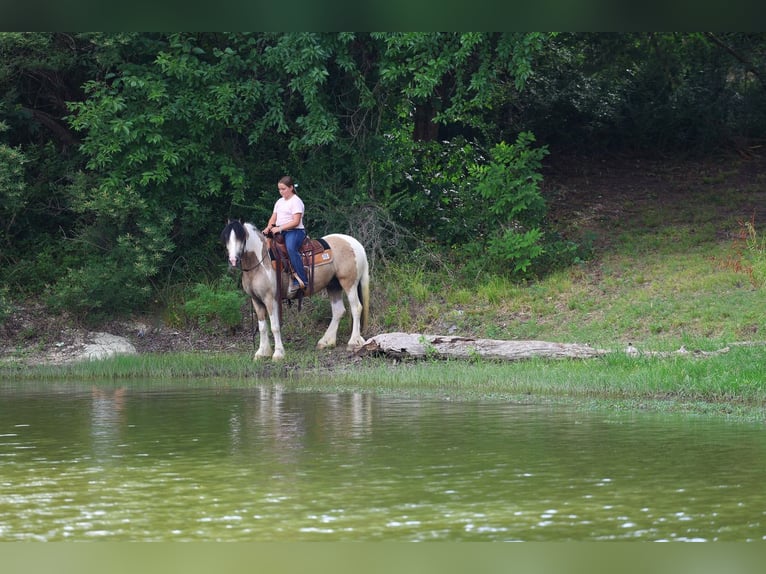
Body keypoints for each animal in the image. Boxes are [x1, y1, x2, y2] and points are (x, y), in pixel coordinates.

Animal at [220, 220, 370, 360]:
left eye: (241, 237)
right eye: (226, 238)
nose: (233, 260)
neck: (261, 262)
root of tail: (355, 243)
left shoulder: (270, 299)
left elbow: (274, 326)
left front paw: (278, 354)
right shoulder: (256, 300)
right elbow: (262, 327)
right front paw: (262, 353)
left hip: (349, 283)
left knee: (356, 308)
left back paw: (353, 342)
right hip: (333, 286)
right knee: (339, 311)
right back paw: (326, 341)